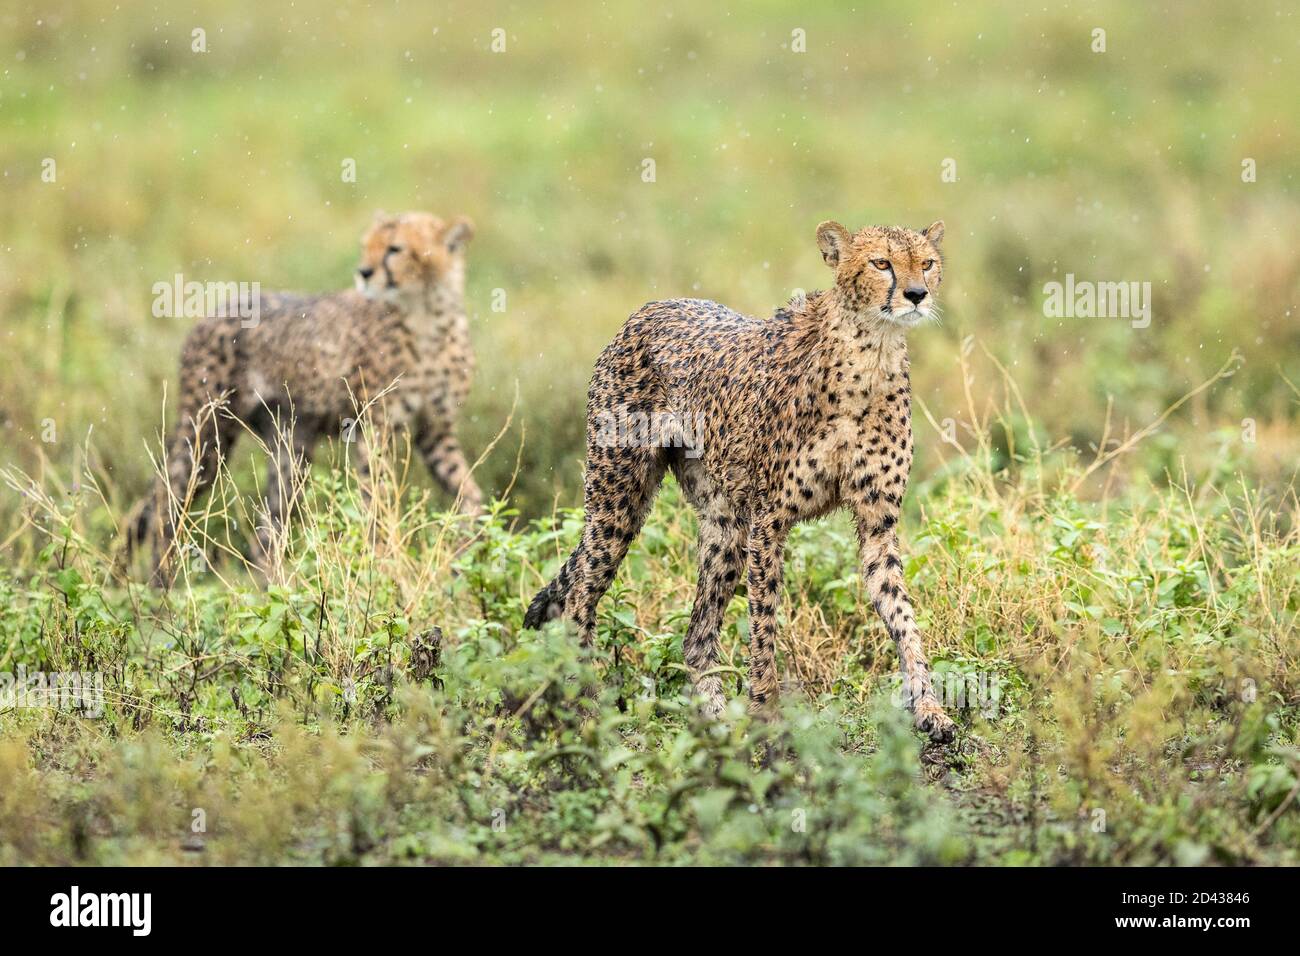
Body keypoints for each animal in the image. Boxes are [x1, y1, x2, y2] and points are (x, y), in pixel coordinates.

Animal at [129, 210, 486, 582]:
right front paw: (383, 565)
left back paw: (275, 588)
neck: (427, 314)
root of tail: (211, 313)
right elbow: (377, 499)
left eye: (395, 249)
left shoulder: (435, 432)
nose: (364, 272)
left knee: (266, 528)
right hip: (208, 433)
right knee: (163, 502)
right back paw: (160, 587)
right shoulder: (375, 428)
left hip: (290, 445)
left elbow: (470, 491)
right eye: (366, 246)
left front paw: (476, 540)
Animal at [522, 221, 961, 743]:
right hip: (617, 500)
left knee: (695, 635)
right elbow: (764, 622)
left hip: (724, 526)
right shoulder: (769, 520)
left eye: (927, 263)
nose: (916, 294)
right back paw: (586, 712)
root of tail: (650, 307)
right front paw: (766, 714)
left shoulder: (878, 524)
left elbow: (902, 615)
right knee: (579, 599)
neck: (870, 352)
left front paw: (929, 707)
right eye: (881, 264)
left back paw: (714, 721)